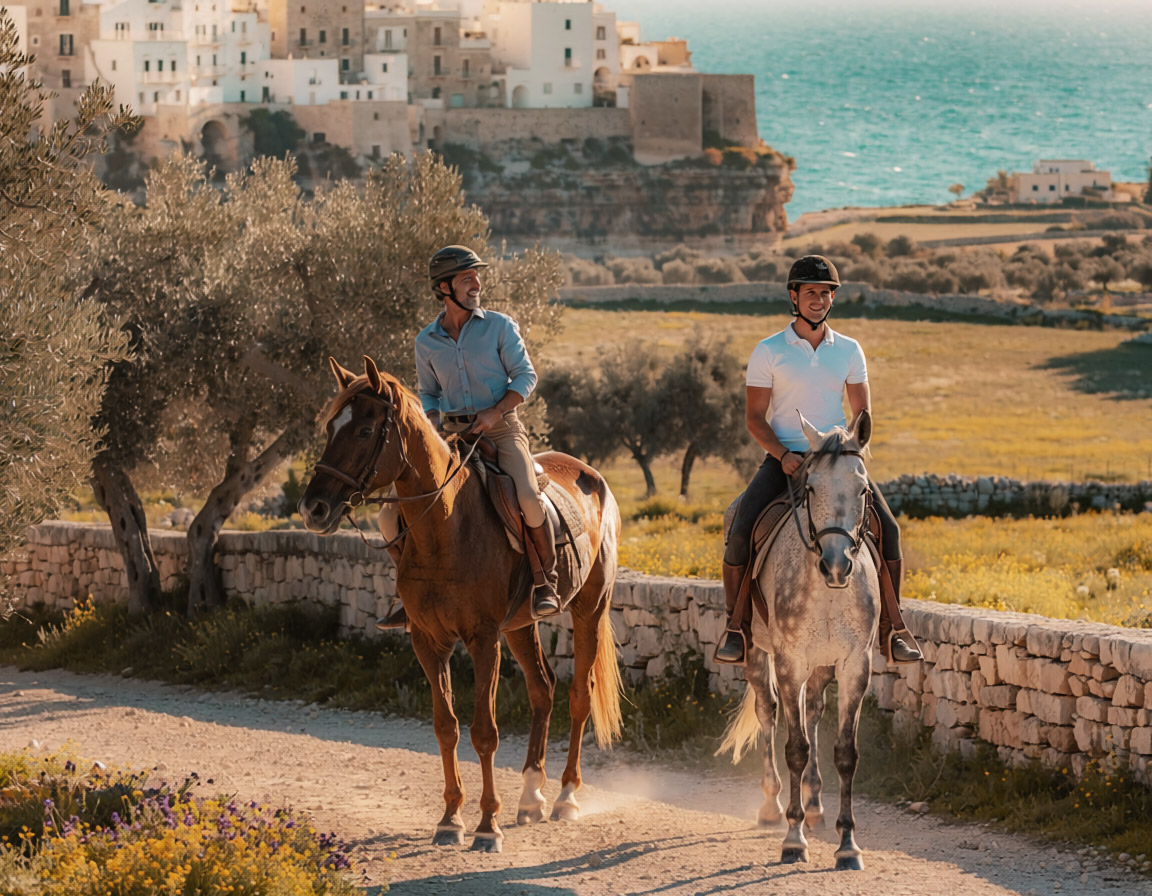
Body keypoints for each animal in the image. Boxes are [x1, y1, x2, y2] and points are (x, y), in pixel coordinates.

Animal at [298, 356, 623, 854]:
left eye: (366, 430)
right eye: (332, 425)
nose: (313, 508)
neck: (446, 527)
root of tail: (592, 476)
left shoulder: (483, 639)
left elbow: (483, 732)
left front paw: (487, 826)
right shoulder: (428, 641)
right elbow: (445, 726)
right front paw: (450, 819)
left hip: (589, 609)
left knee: (578, 696)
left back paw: (566, 796)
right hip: (521, 625)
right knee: (542, 689)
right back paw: (531, 796)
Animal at [718, 408, 879, 872]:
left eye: (863, 489)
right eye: (810, 487)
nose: (836, 565)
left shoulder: (854, 665)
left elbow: (845, 752)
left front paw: (847, 844)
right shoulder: (789, 662)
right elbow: (795, 748)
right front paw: (793, 840)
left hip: (821, 666)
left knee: (812, 711)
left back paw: (814, 806)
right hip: (757, 653)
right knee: (769, 711)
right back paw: (773, 806)